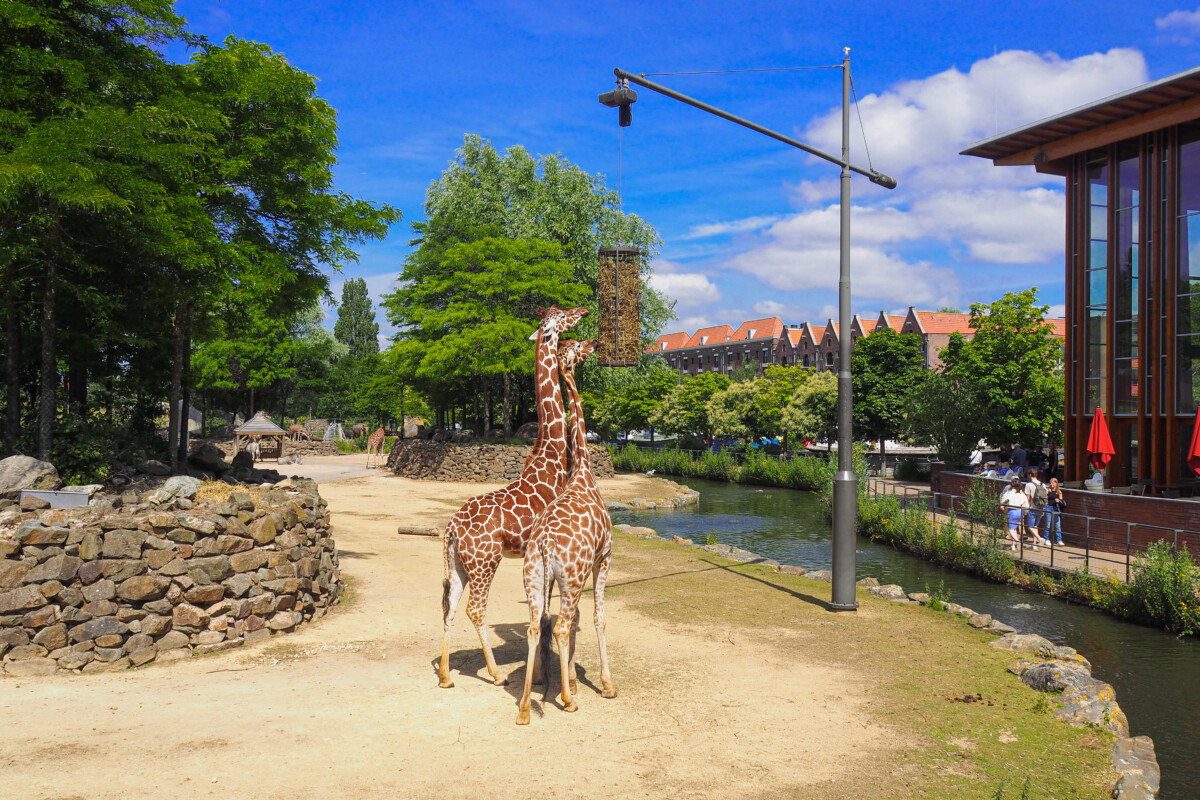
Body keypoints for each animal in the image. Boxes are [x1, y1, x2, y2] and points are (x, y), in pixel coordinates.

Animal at [438, 305, 588, 689]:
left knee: (449, 605)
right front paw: (543, 677)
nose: (582, 309)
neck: (551, 454)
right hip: (485, 562)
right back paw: (495, 674)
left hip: (459, 564)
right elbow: (546, 615)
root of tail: (451, 530)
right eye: (563, 318)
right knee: (475, 609)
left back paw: (445, 675)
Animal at [516, 339, 616, 725]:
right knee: (558, 624)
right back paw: (568, 700)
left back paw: (526, 707)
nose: (593, 344)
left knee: (536, 625)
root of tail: (543, 543)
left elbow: (574, 624)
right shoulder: (603, 558)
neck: (584, 472)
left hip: (535, 576)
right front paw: (605, 685)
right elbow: (597, 617)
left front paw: (570, 678)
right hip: (571, 577)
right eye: (576, 348)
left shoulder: (564, 577)